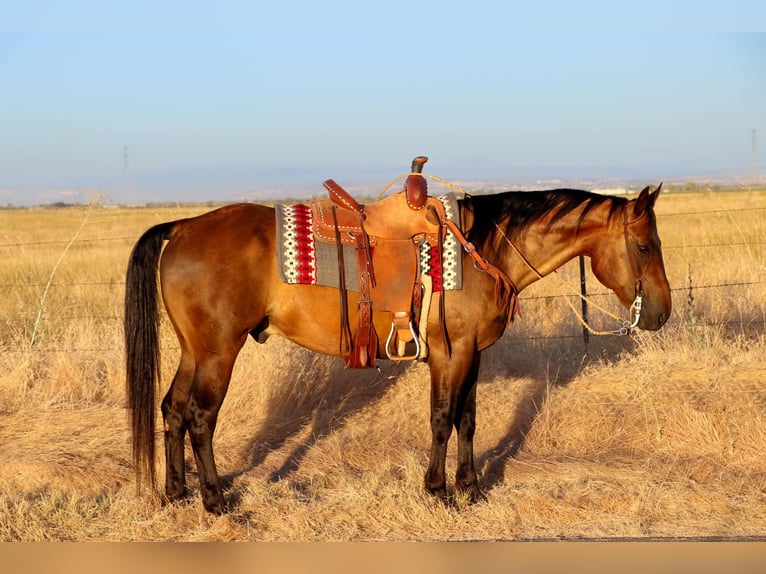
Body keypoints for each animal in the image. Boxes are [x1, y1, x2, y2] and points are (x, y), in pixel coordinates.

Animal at [124, 183, 671, 514]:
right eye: (645, 246)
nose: (662, 313)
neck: (481, 249)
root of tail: (183, 226)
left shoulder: (473, 353)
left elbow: (467, 419)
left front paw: (471, 488)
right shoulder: (451, 353)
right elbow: (442, 418)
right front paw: (439, 491)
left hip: (194, 351)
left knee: (172, 409)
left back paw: (175, 493)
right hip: (219, 352)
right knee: (199, 416)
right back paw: (215, 500)